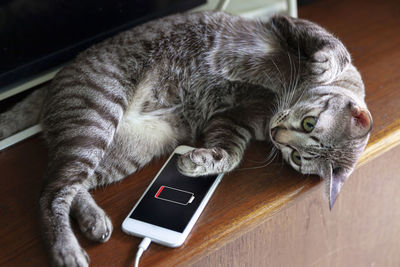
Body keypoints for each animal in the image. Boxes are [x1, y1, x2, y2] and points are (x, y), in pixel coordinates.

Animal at [0, 11, 372, 267]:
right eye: (310, 123)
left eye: (297, 157)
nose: (277, 135)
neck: (276, 99)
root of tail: (50, 84)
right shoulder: (287, 24)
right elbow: (334, 46)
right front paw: (325, 66)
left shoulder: (232, 119)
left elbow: (229, 155)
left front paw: (200, 162)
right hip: (95, 120)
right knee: (50, 192)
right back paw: (67, 250)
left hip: (127, 149)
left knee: (71, 185)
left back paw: (93, 222)